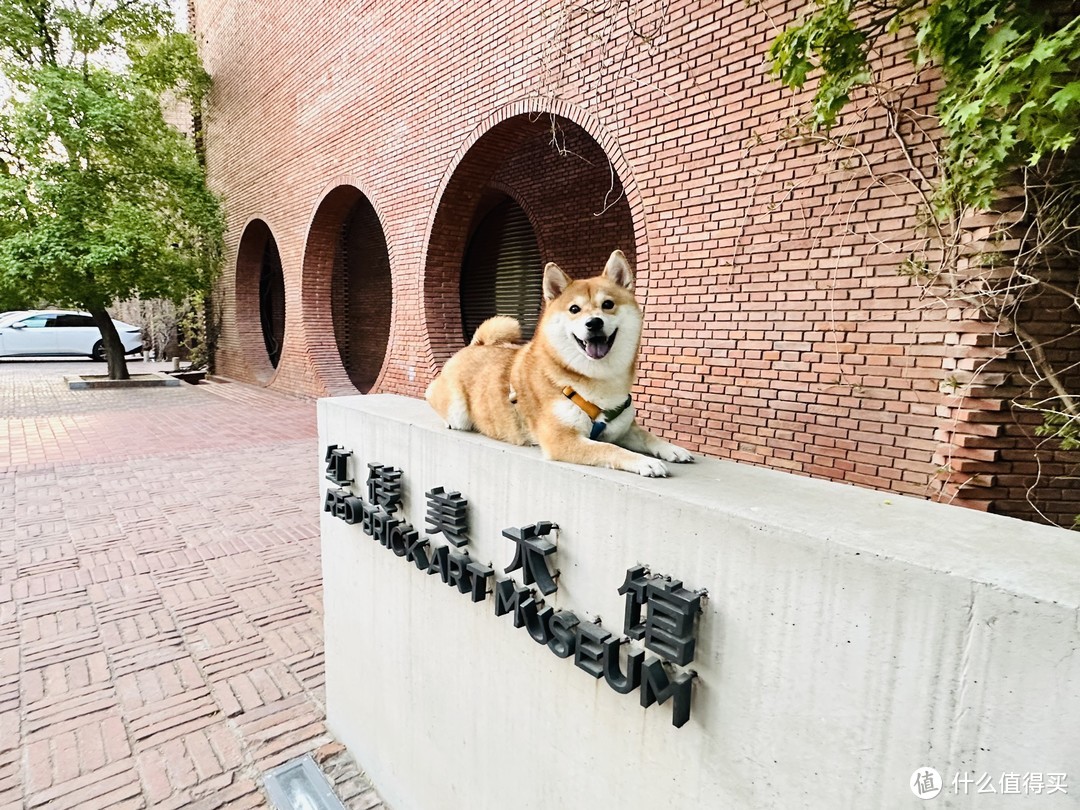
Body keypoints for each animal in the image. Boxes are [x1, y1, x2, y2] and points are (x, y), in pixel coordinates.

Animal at [425, 247, 695, 475]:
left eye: (608, 304)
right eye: (574, 309)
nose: (594, 322)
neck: (596, 381)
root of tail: (475, 346)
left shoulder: (623, 427)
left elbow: (648, 436)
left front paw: (673, 449)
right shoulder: (562, 439)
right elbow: (611, 448)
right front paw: (645, 461)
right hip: (457, 410)